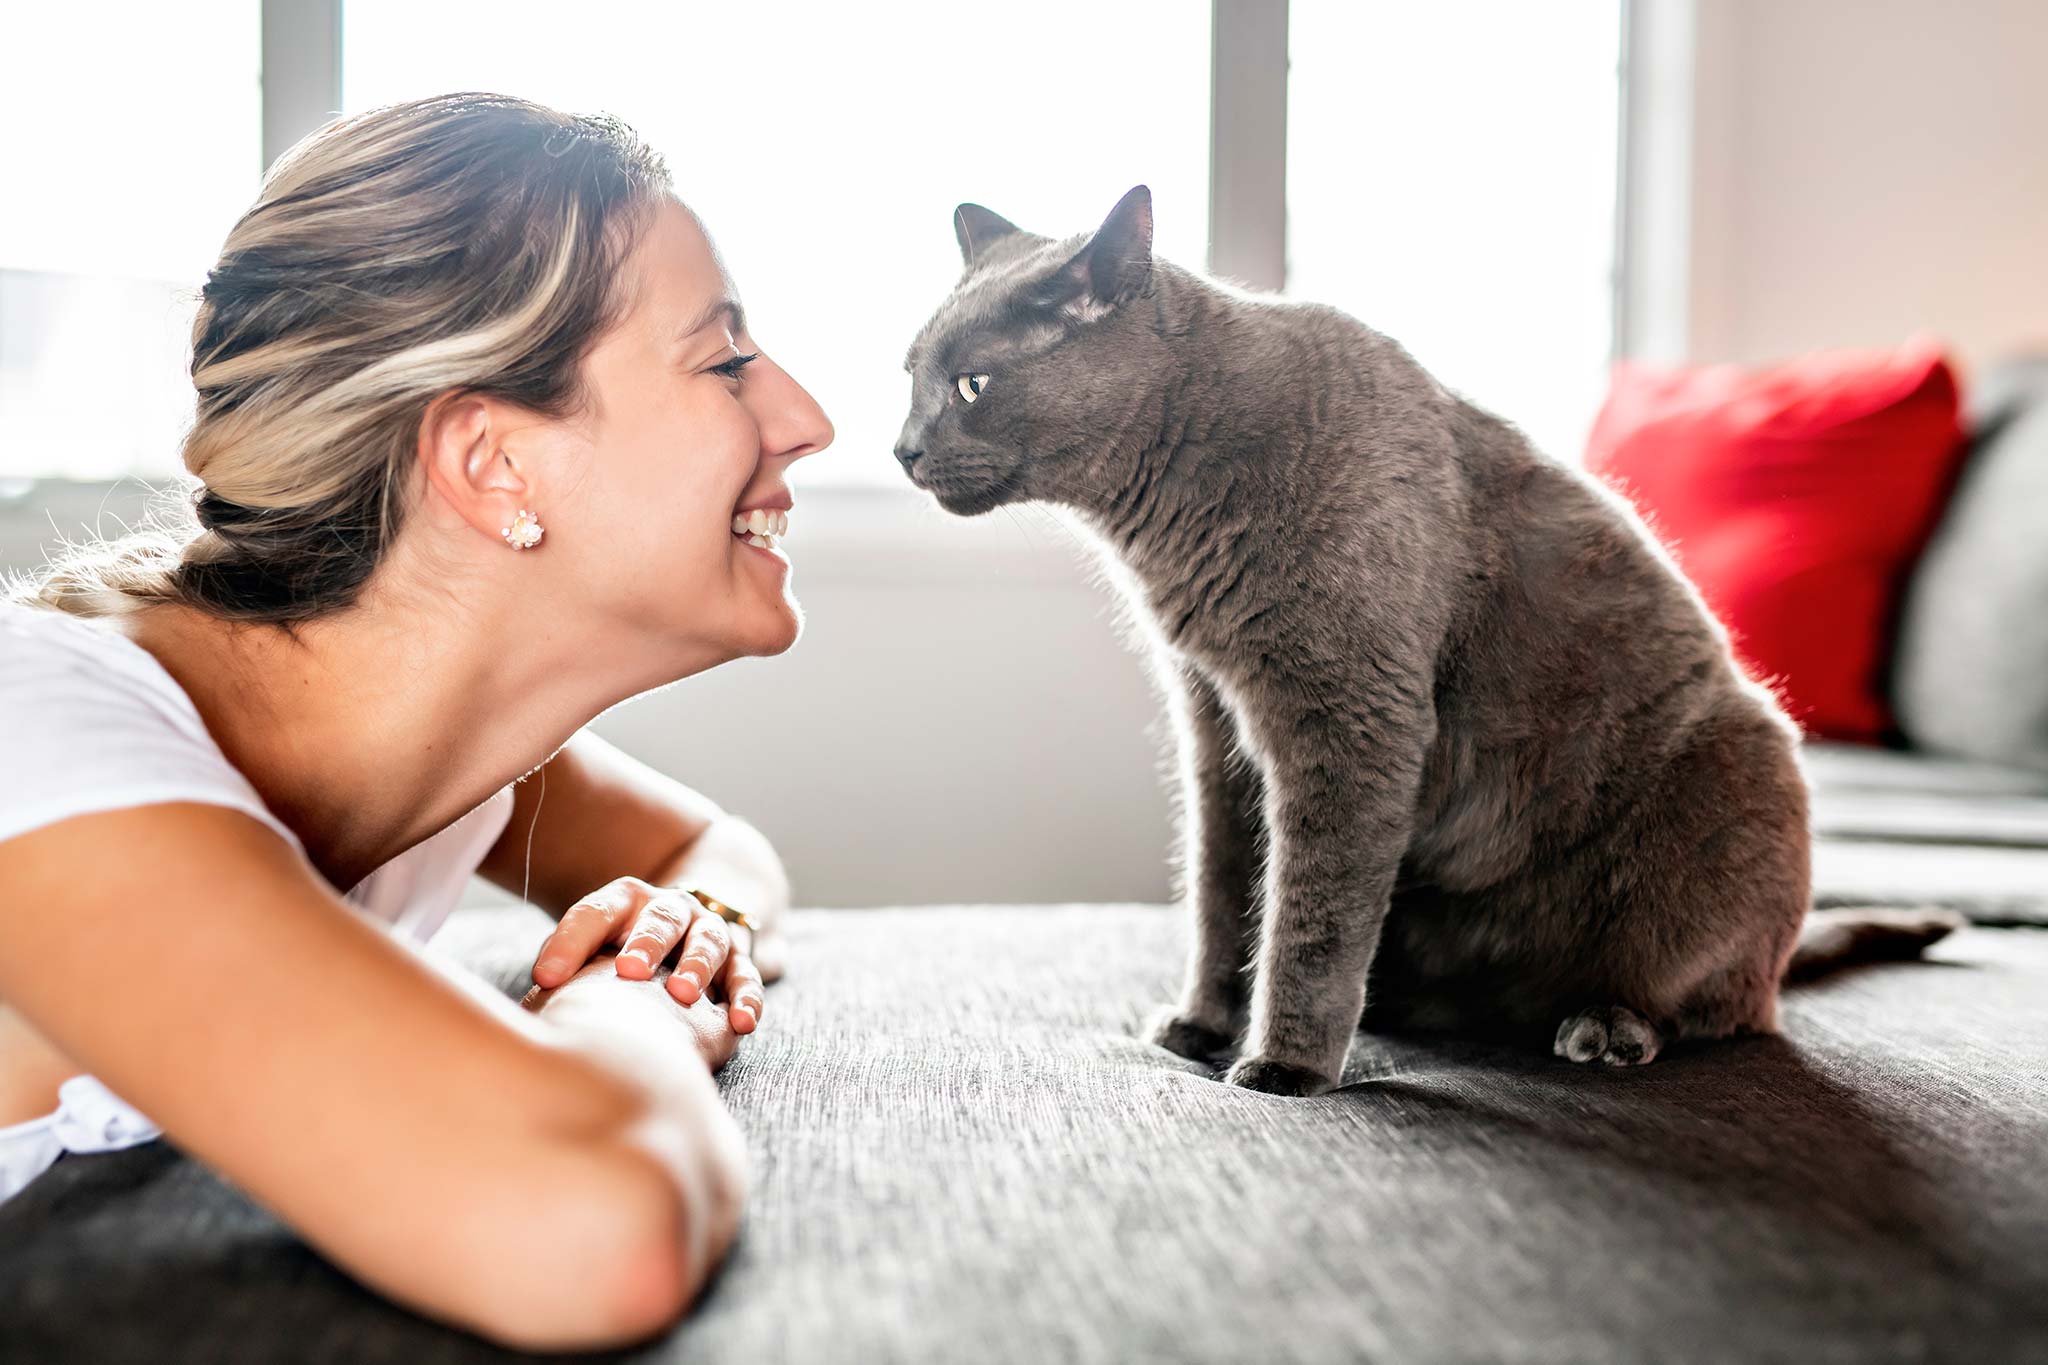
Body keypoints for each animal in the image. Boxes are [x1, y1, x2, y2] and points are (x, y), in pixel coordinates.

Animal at [892, 187, 1949, 1096]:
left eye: (973, 383)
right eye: (909, 378)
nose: (901, 448)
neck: (1169, 516)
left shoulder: (1349, 720)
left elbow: (1309, 914)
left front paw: (1282, 1067)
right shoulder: (1214, 726)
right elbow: (1222, 890)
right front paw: (1200, 1025)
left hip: (1744, 773)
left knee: (1724, 1005)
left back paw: (1607, 1025)